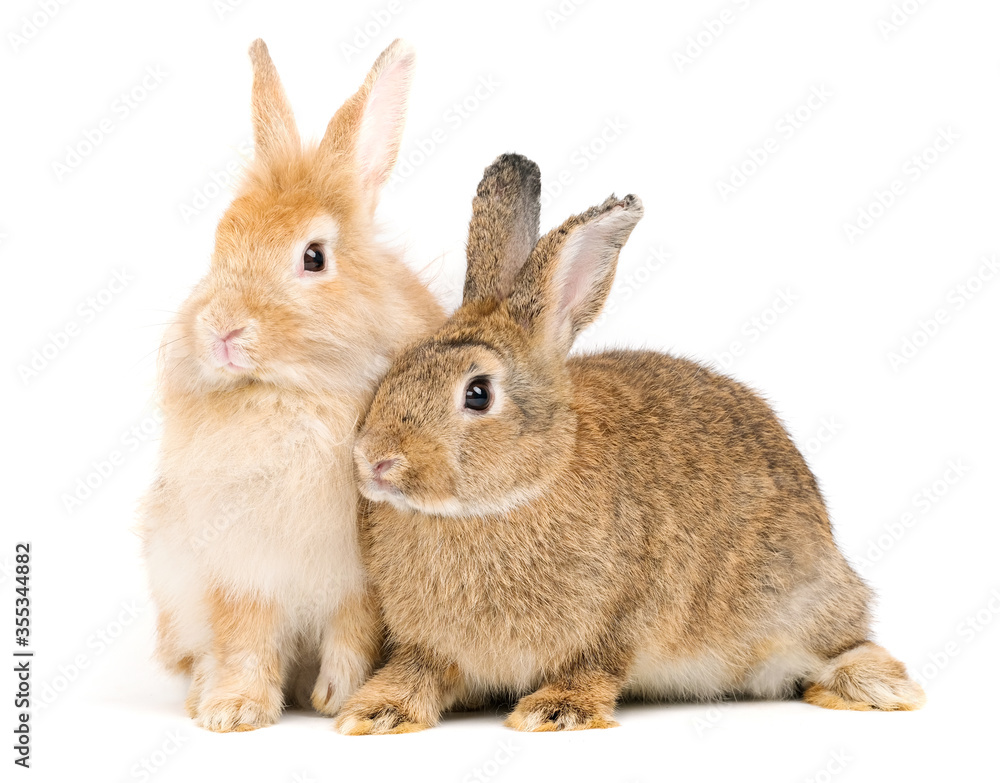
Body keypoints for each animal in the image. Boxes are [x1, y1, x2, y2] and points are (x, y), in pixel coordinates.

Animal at [138, 38, 443, 732]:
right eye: (221, 242)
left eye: (313, 257)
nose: (222, 329)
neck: (292, 390)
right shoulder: (239, 564)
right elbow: (244, 637)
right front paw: (232, 711)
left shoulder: (358, 579)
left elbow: (351, 635)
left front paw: (338, 698)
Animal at [334, 153, 926, 734]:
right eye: (397, 367)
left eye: (477, 394)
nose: (375, 460)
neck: (516, 492)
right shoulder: (430, 647)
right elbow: (419, 670)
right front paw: (375, 712)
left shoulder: (622, 618)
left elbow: (594, 665)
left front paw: (556, 712)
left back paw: (877, 689)